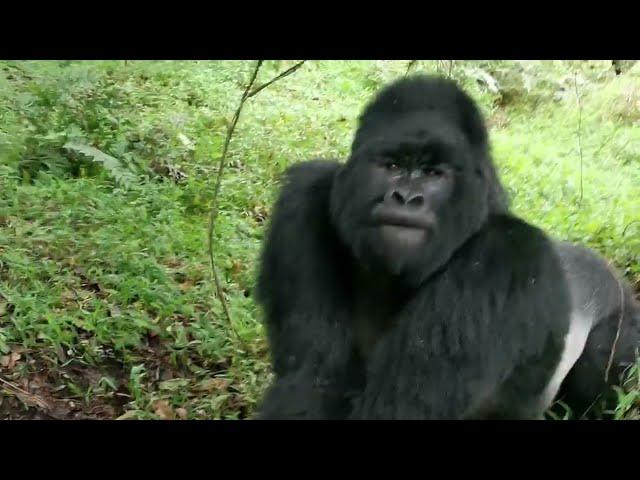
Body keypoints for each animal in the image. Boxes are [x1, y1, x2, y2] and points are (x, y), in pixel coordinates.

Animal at [254, 75, 640, 420]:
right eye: (393, 165)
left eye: (434, 173)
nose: (407, 198)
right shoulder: (305, 199)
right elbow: (312, 378)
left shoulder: (503, 257)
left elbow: (398, 410)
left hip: (622, 319)